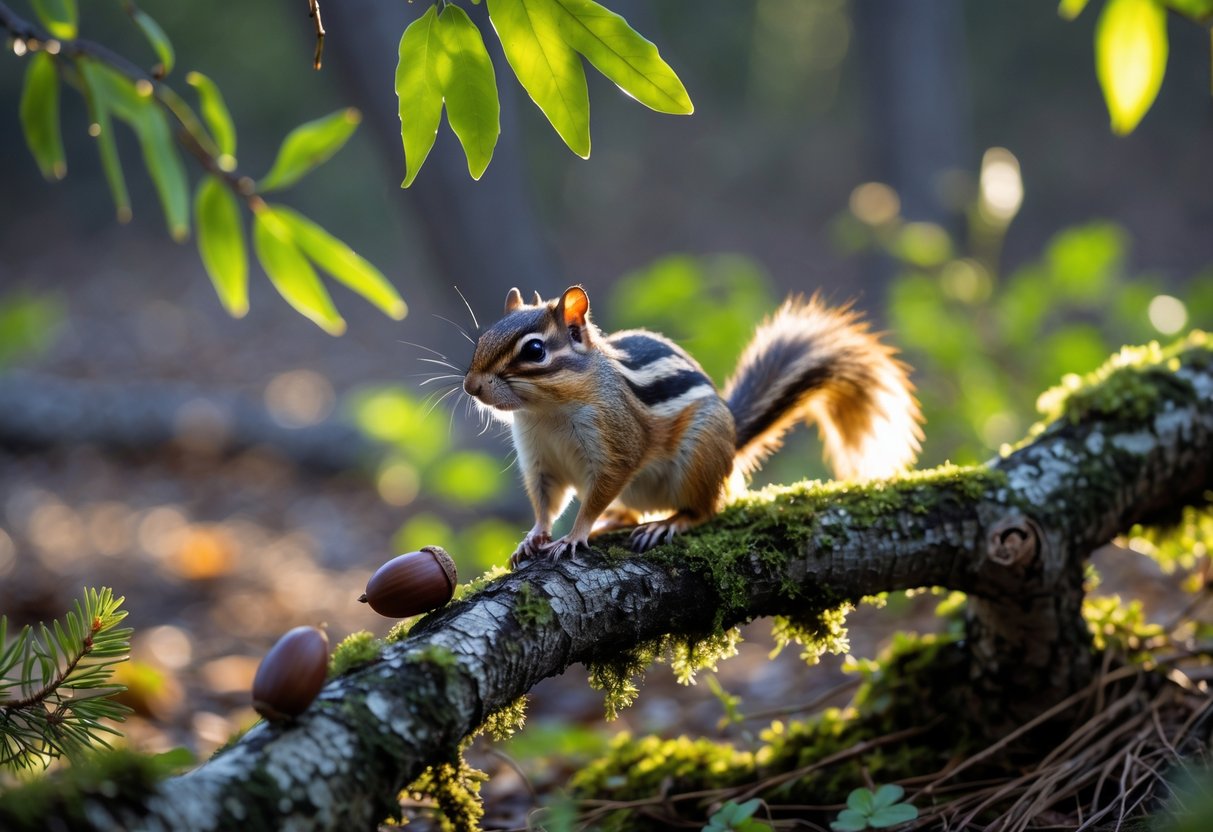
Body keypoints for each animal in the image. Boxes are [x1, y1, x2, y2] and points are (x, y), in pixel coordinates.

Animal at [462, 285, 923, 566]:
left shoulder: (615, 445)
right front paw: (533, 537)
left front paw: (575, 535)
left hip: (698, 458)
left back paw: (669, 522)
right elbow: (546, 503)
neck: (546, 413)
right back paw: (621, 519)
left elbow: (595, 497)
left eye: (535, 351)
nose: (471, 386)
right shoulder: (540, 460)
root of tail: (731, 440)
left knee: (706, 509)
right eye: (482, 339)